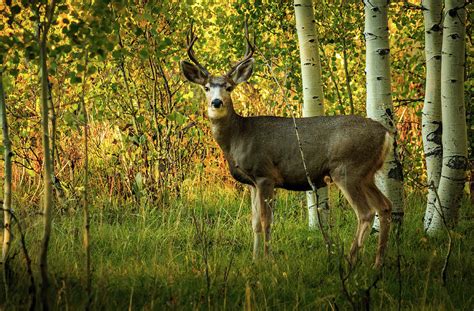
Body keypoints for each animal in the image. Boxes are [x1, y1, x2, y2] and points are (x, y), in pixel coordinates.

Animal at [181, 25, 392, 268]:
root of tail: (386, 133)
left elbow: (266, 221)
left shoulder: (265, 174)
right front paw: (254, 259)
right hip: (367, 173)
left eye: (229, 87)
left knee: (366, 213)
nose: (217, 102)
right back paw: (378, 263)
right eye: (206, 88)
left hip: (347, 169)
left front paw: (267, 259)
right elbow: (254, 223)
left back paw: (350, 260)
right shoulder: (252, 183)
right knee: (385, 206)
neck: (237, 137)